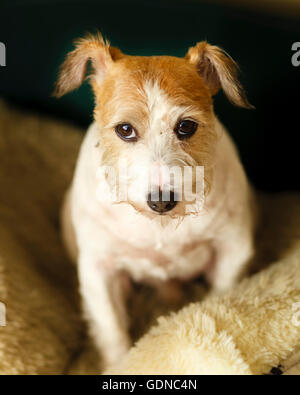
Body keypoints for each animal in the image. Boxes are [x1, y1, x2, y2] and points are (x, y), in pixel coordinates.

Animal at [54, 34, 255, 368]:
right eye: (125, 129)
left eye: (186, 126)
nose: (162, 200)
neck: (158, 227)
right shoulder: (99, 271)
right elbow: (112, 330)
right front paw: (119, 364)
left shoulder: (233, 249)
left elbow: (219, 294)